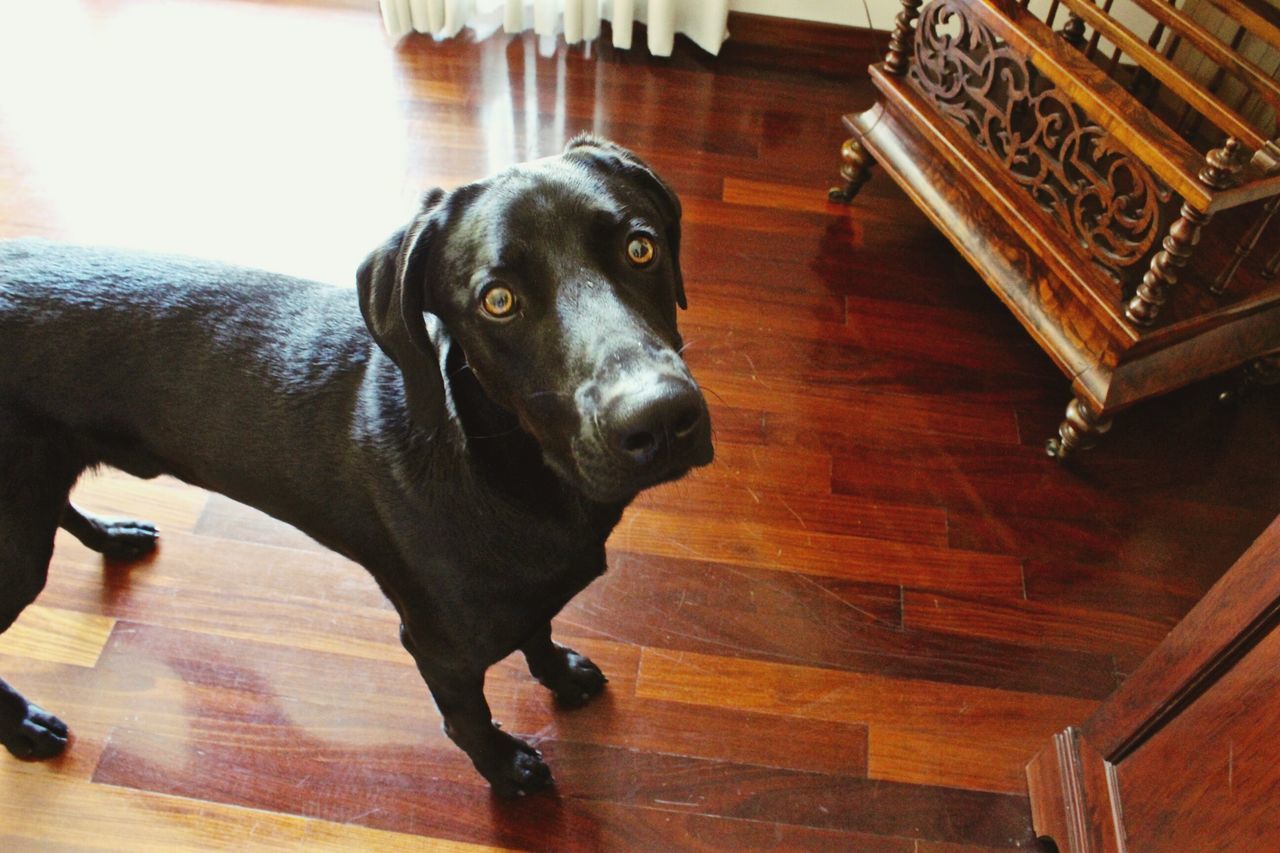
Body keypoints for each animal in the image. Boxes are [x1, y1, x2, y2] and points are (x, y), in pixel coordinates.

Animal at [0, 136, 711, 794]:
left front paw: (559, 673)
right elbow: (467, 720)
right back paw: (25, 729)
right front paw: (505, 770)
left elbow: (537, 628)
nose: (659, 419)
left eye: (640, 248)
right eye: (498, 300)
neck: (512, 471)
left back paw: (112, 537)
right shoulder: (438, 647)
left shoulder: (526, 589)